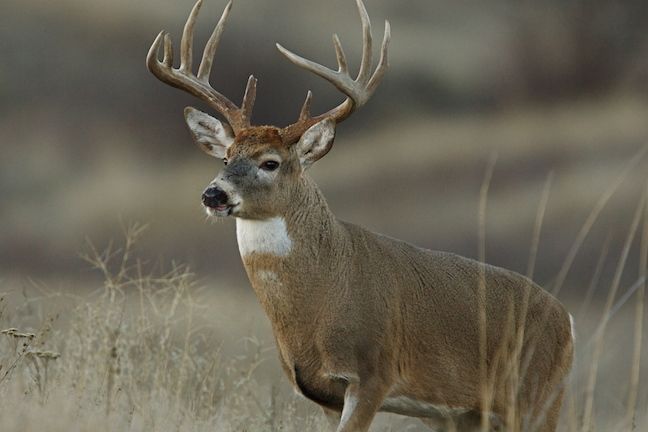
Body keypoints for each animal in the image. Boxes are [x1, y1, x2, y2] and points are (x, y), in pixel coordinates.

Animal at [146, 1, 574, 431]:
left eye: (270, 162)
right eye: (225, 157)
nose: (213, 194)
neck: (323, 296)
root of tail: (567, 320)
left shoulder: (373, 374)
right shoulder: (320, 392)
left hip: (537, 397)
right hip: (465, 415)